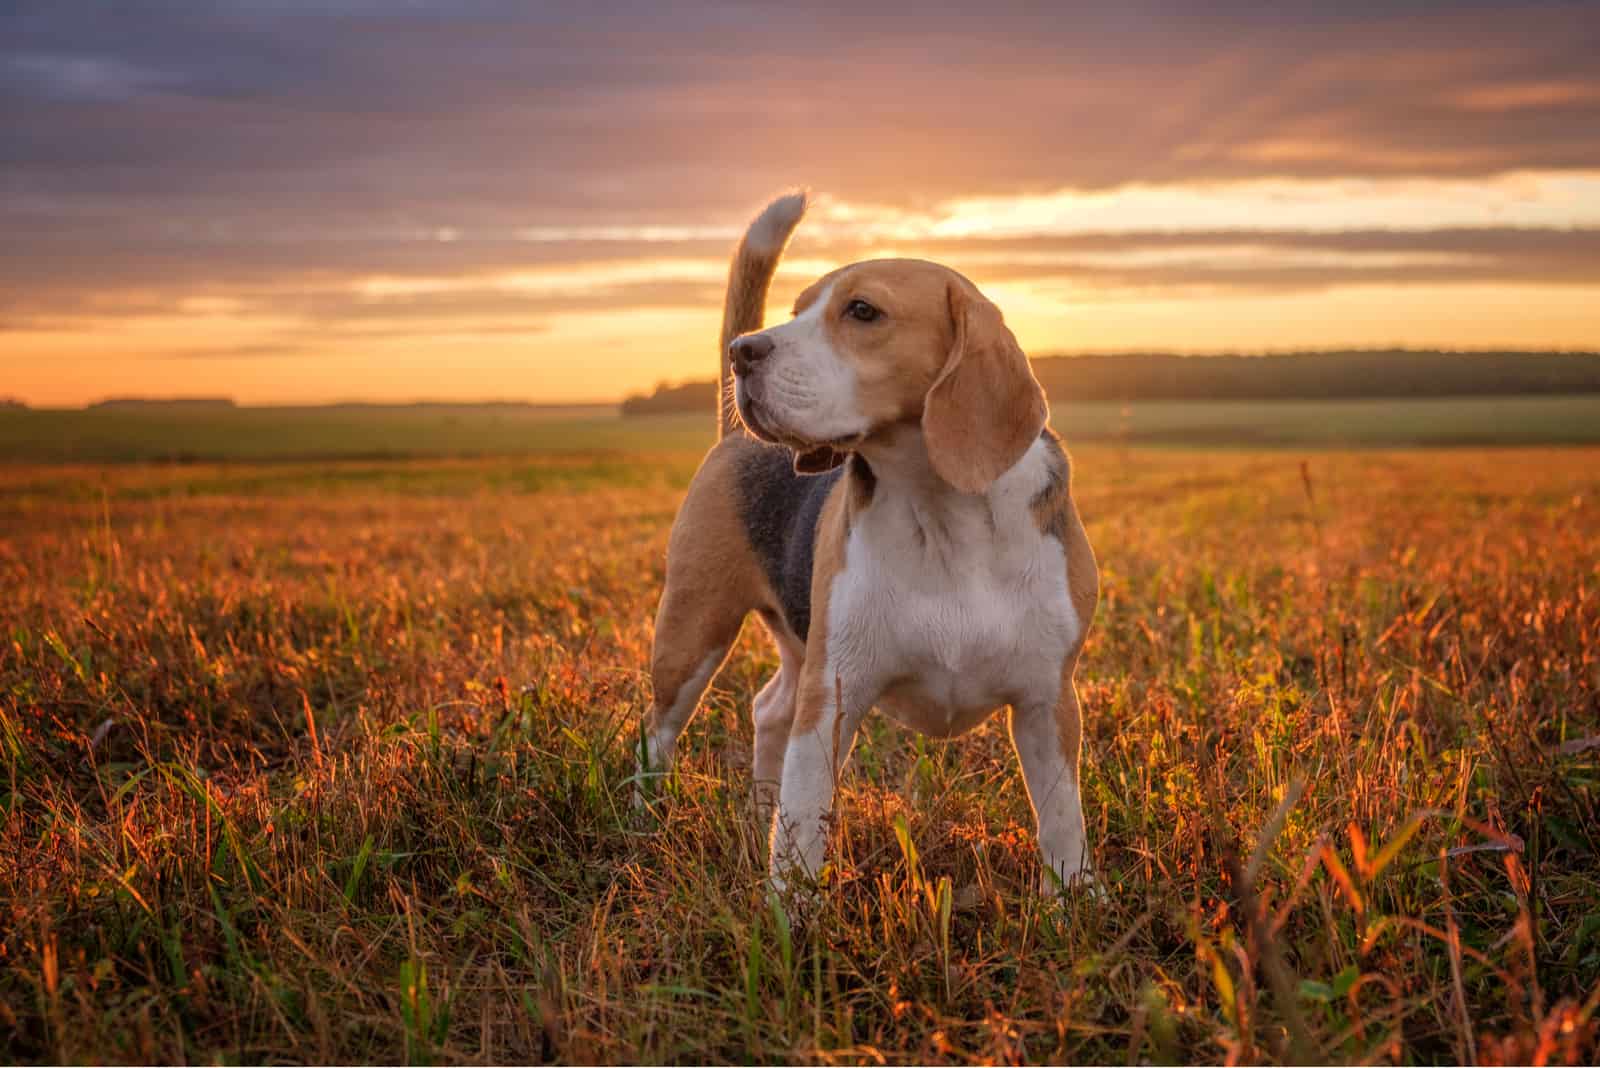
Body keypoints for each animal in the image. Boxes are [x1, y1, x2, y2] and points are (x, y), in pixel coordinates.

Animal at [640, 191, 1100, 895]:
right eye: (797, 311)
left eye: (862, 311)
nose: (744, 352)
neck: (942, 513)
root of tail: (734, 435)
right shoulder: (833, 695)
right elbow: (804, 824)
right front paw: (789, 915)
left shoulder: (1049, 700)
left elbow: (1061, 820)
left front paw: (1074, 901)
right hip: (693, 631)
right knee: (659, 734)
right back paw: (642, 818)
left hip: (795, 642)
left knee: (769, 709)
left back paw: (756, 814)